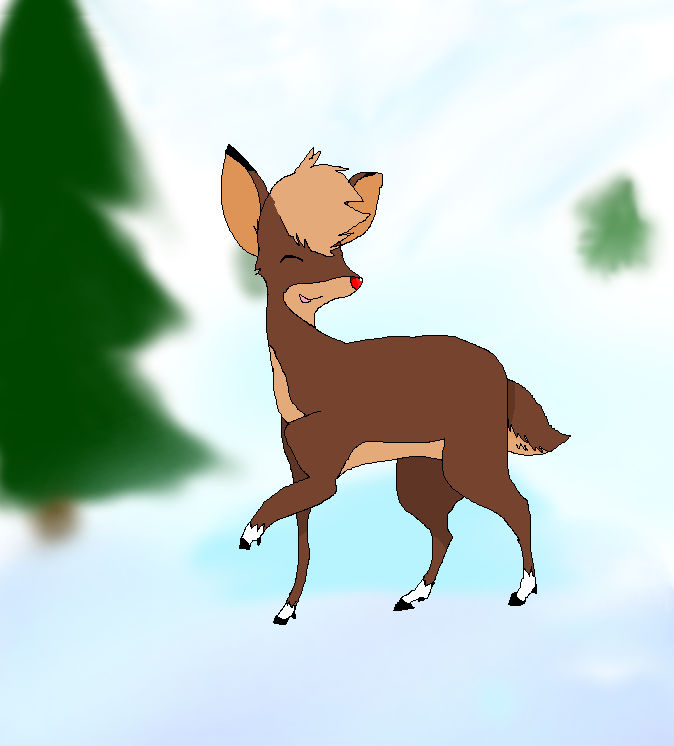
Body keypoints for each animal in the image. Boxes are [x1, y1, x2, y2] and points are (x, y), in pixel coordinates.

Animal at [221, 145, 570, 625]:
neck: (305, 381)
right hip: (422, 477)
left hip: (469, 465)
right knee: (446, 533)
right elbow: (303, 544)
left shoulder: (324, 478)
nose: (354, 278)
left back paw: (523, 590)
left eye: (338, 251)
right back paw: (412, 595)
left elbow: (273, 504)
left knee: (518, 508)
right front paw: (287, 609)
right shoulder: (301, 473)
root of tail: (501, 371)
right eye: (288, 259)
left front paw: (250, 532)